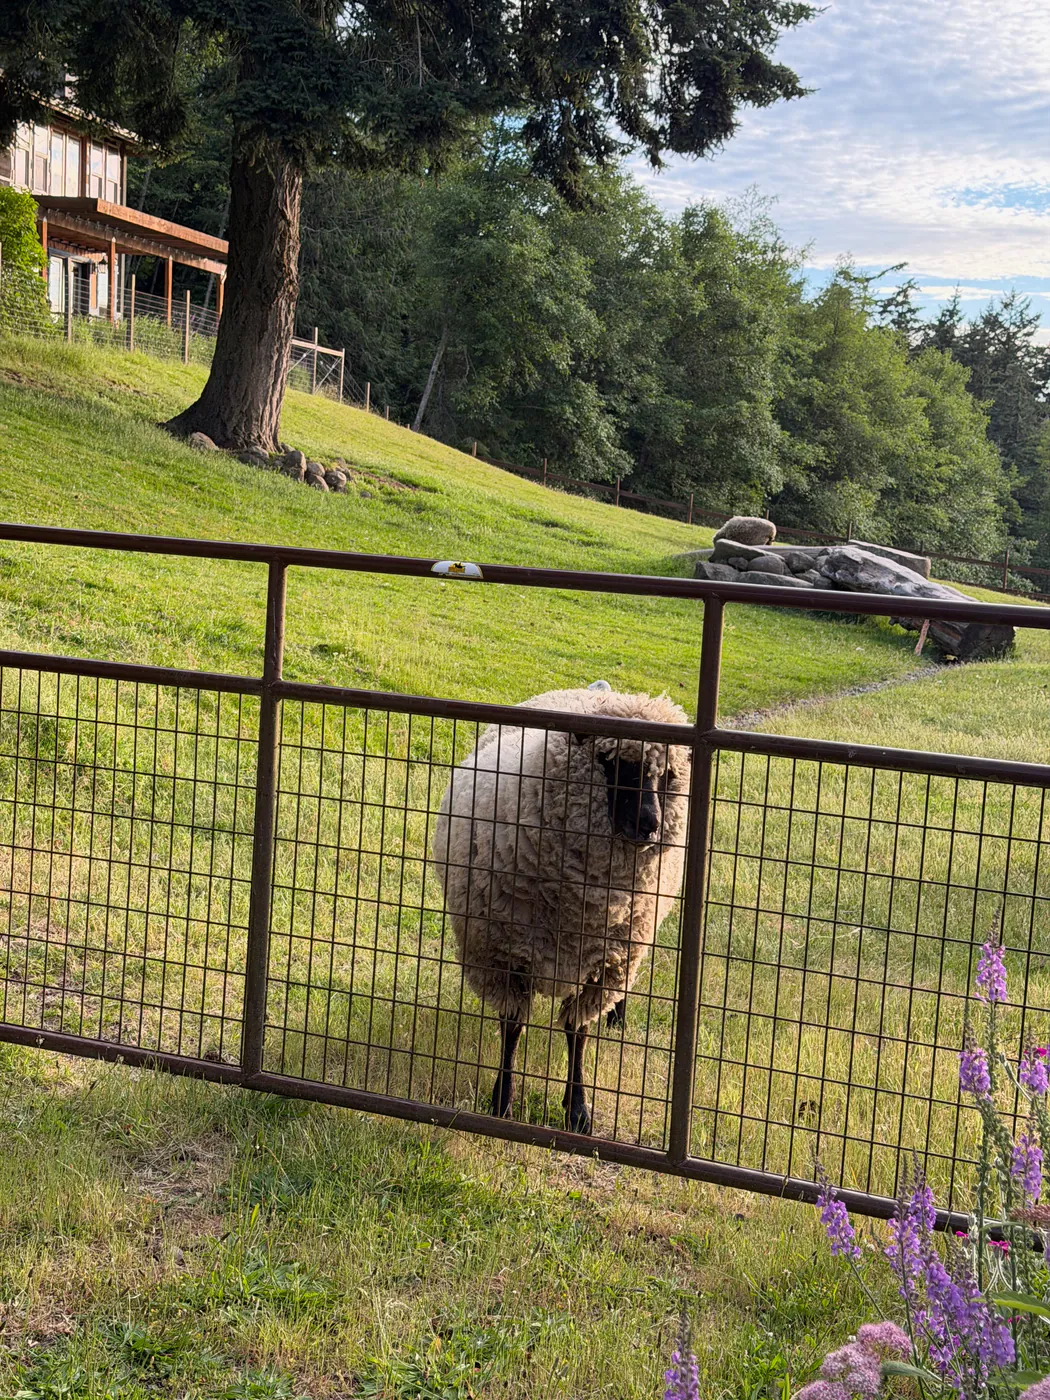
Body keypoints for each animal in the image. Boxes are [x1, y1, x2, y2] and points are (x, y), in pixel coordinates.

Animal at [430, 681, 691, 1135]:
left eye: (666, 776)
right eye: (611, 763)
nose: (651, 826)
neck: (581, 903)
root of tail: (596, 688)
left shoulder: (605, 962)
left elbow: (577, 1032)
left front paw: (578, 1110)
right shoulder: (501, 955)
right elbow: (512, 1027)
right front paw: (502, 1100)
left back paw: (618, 1018)